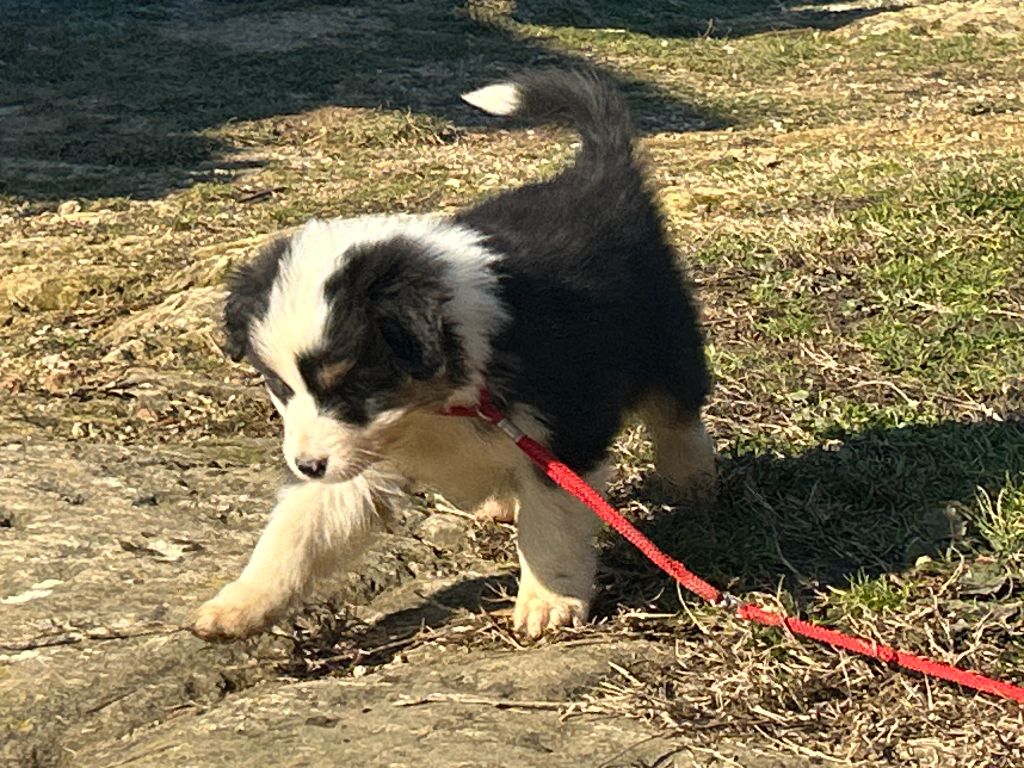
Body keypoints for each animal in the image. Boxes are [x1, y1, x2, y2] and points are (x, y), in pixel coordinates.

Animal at [195, 69, 716, 643]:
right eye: (280, 388)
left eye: (354, 385)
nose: (307, 464)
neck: (440, 401)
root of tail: (597, 173)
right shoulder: (354, 459)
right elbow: (297, 529)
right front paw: (237, 605)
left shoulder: (564, 428)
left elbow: (551, 526)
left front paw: (547, 602)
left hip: (666, 336)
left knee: (676, 412)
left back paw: (692, 479)